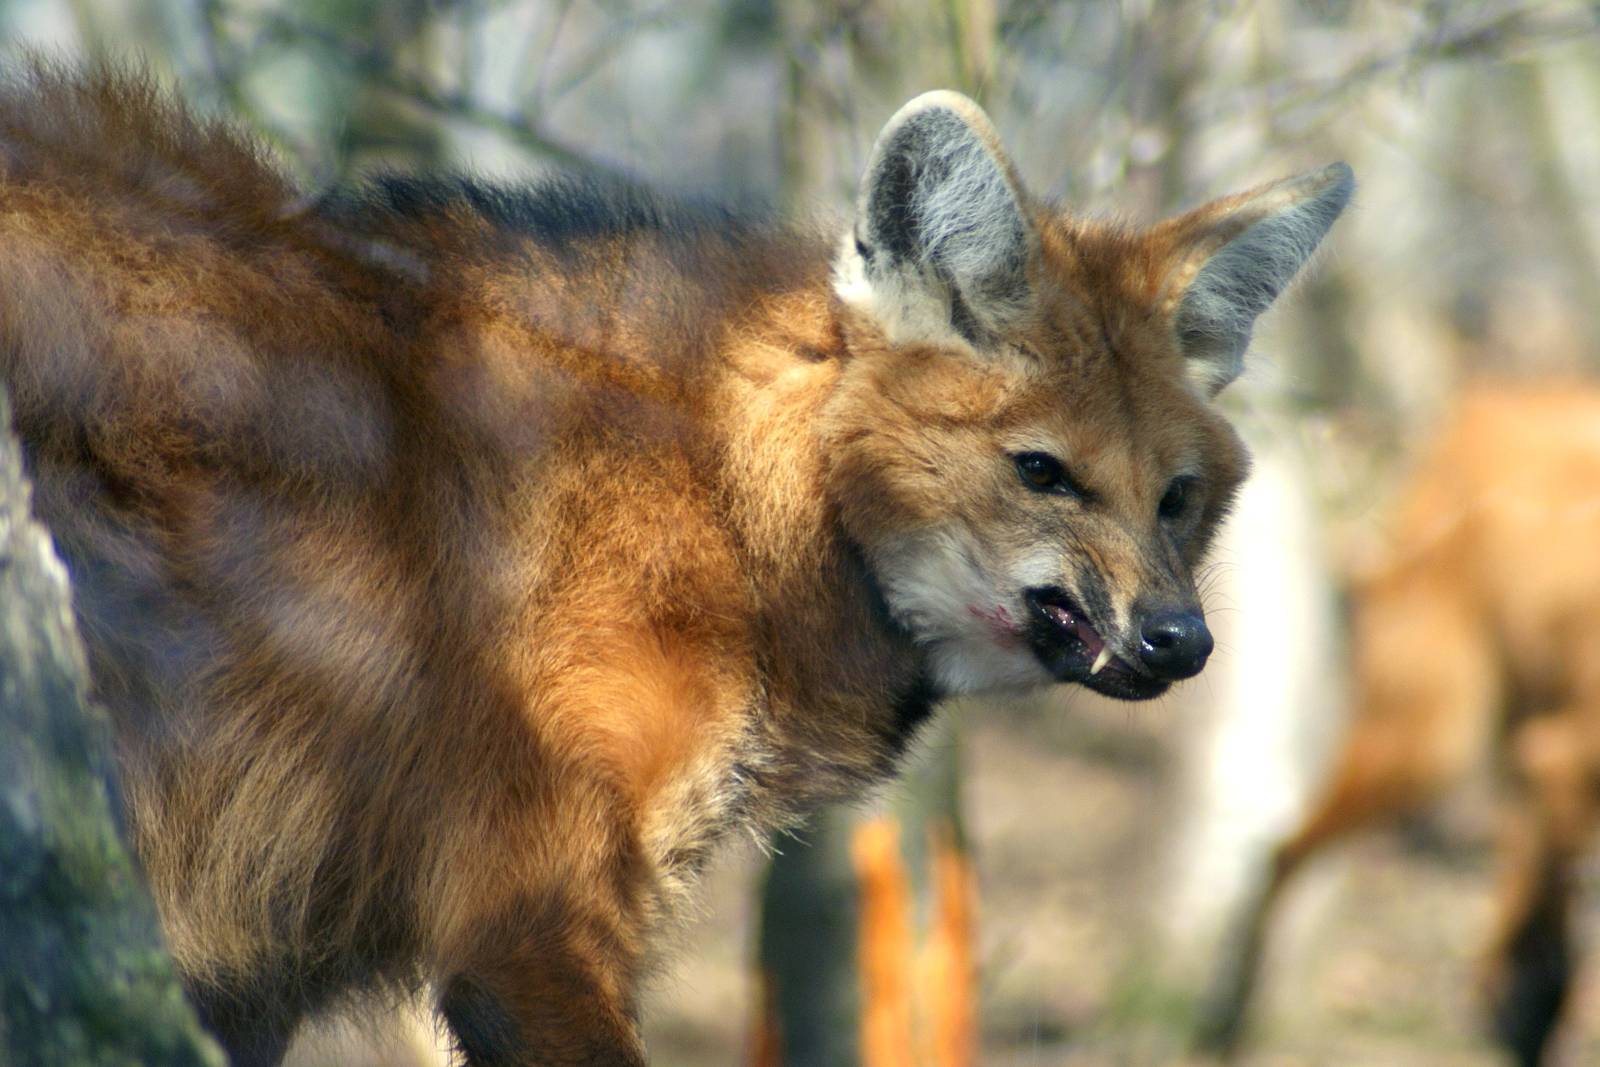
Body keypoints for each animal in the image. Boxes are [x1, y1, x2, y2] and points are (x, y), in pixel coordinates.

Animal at [0, 66, 1350, 1065]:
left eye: (1176, 499)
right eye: (1041, 472)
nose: (1182, 639)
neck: (734, 502)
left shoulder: (263, 961)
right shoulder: (520, 926)